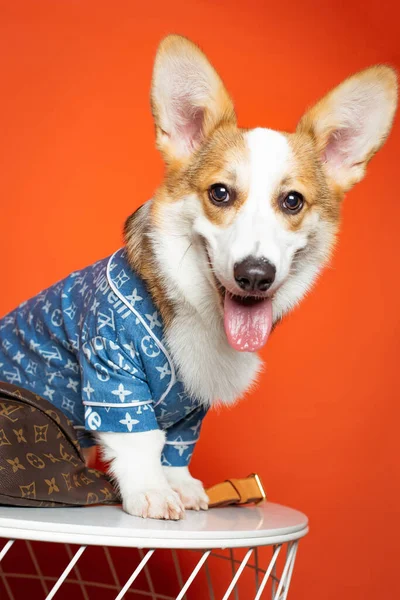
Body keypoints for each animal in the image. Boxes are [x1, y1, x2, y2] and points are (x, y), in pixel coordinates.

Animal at [0, 35, 396, 516]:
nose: (254, 275)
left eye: (293, 201)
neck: (198, 310)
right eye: (219, 193)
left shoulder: (191, 408)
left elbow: (175, 449)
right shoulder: (112, 373)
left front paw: (180, 486)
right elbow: (140, 440)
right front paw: (150, 491)